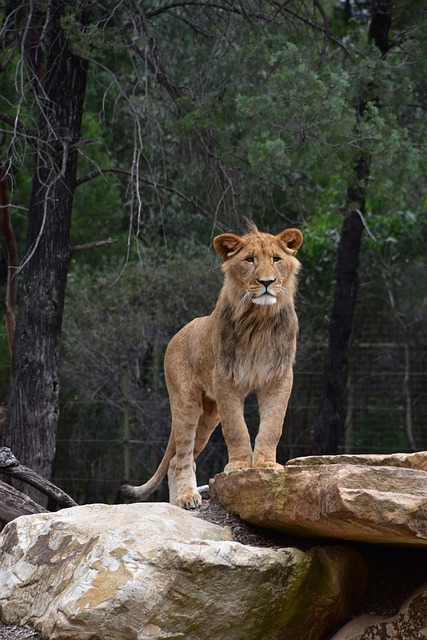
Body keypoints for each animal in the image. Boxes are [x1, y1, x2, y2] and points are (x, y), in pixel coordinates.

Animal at [118, 224, 302, 510]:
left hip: (210, 413)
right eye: (249, 260)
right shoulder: (225, 378)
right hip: (187, 404)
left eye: (276, 259)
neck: (259, 321)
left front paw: (266, 464)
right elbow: (236, 427)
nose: (267, 282)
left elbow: (273, 424)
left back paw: (177, 501)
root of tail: (177, 333)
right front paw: (239, 465)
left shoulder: (279, 377)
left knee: (175, 461)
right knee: (180, 457)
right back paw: (186, 497)